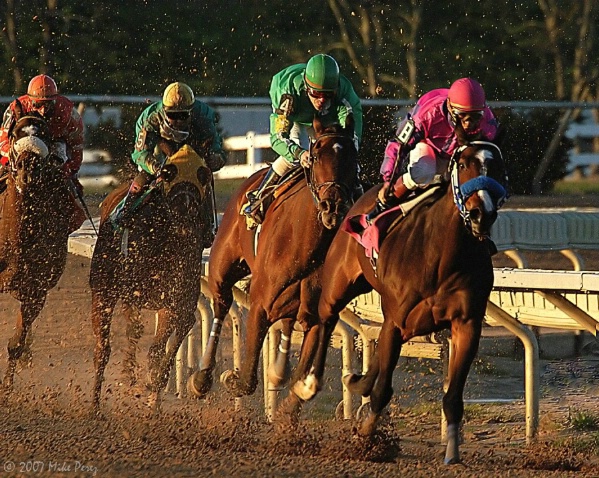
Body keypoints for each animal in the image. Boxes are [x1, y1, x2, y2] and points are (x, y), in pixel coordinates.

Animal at [0, 104, 72, 388]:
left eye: (45, 134)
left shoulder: (36, 291)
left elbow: (16, 344)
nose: (27, 167)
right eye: (16, 132)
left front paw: (7, 388)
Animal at [89, 143, 211, 414]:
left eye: (203, 174)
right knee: (103, 347)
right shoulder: (126, 292)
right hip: (104, 289)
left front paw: (153, 396)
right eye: (167, 173)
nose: (185, 210)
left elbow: (161, 348)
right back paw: (95, 405)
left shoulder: (176, 301)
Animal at [188, 116, 356, 400]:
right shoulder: (259, 306)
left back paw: (278, 368)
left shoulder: (316, 316)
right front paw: (230, 377)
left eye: (353, 156)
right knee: (221, 304)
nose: (332, 206)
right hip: (222, 266)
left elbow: (302, 380)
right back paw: (201, 378)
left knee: (286, 323)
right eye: (316, 154)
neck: (306, 249)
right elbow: (247, 380)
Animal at [288, 137, 508, 464]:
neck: (442, 255)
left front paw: (452, 452)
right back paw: (308, 384)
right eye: (465, 163)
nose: (482, 213)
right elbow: (382, 391)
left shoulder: (466, 324)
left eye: (496, 167)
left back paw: (356, 381)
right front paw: (366, 433)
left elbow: (453, 396)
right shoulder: (397, 320)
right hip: (338, 284)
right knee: (326, 320)